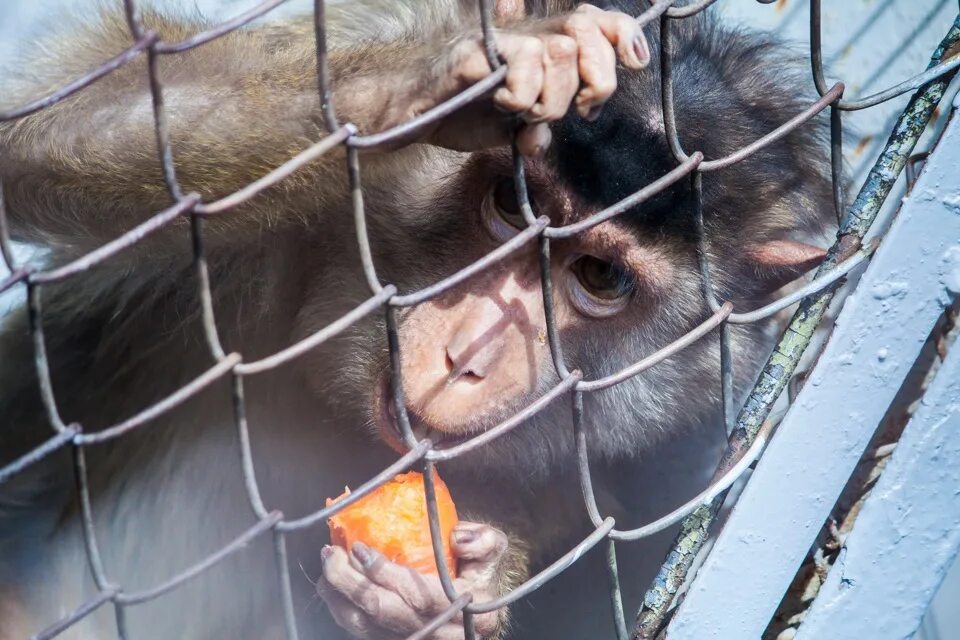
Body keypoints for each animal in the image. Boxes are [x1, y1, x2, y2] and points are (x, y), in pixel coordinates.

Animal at [0, 0, 836, 636]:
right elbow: (63, 128)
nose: (466, 356)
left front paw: (442, 603)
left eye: (599, 277)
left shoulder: (689, 441)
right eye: (510, 208)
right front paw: (435, 85)